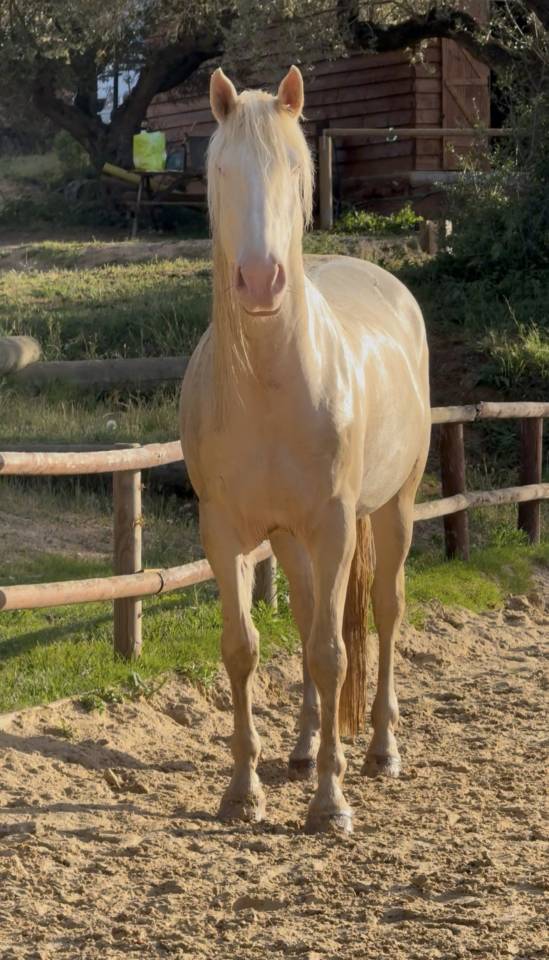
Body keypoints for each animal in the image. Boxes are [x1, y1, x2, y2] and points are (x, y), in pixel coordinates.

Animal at [180, 65, 431, 834]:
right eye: (221, 171)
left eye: (294, 169)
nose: (262, 281)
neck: (270, 384)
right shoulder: (226, 532)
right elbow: (244, 648)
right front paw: (242, 792)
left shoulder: (333, 525)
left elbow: (330, 652)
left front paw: (330, 803)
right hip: (290, 539)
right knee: (305, 612)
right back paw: (299, 748)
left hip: (394, 508)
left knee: (384, 611)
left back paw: (381, 750)